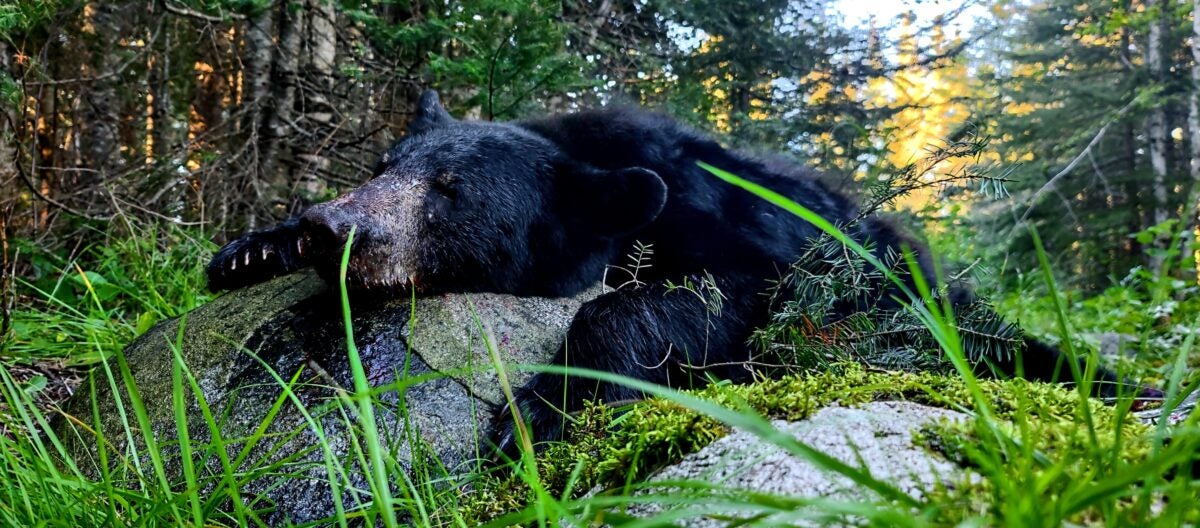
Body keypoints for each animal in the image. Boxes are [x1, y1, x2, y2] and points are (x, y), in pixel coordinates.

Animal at [208, 88, 1152, 451]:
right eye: (383, 165)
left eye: (450, 191)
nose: (336, 228)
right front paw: (255, 244)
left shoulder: (742, 237)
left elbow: (693, 301)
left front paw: (538, 412)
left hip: (901, 287)